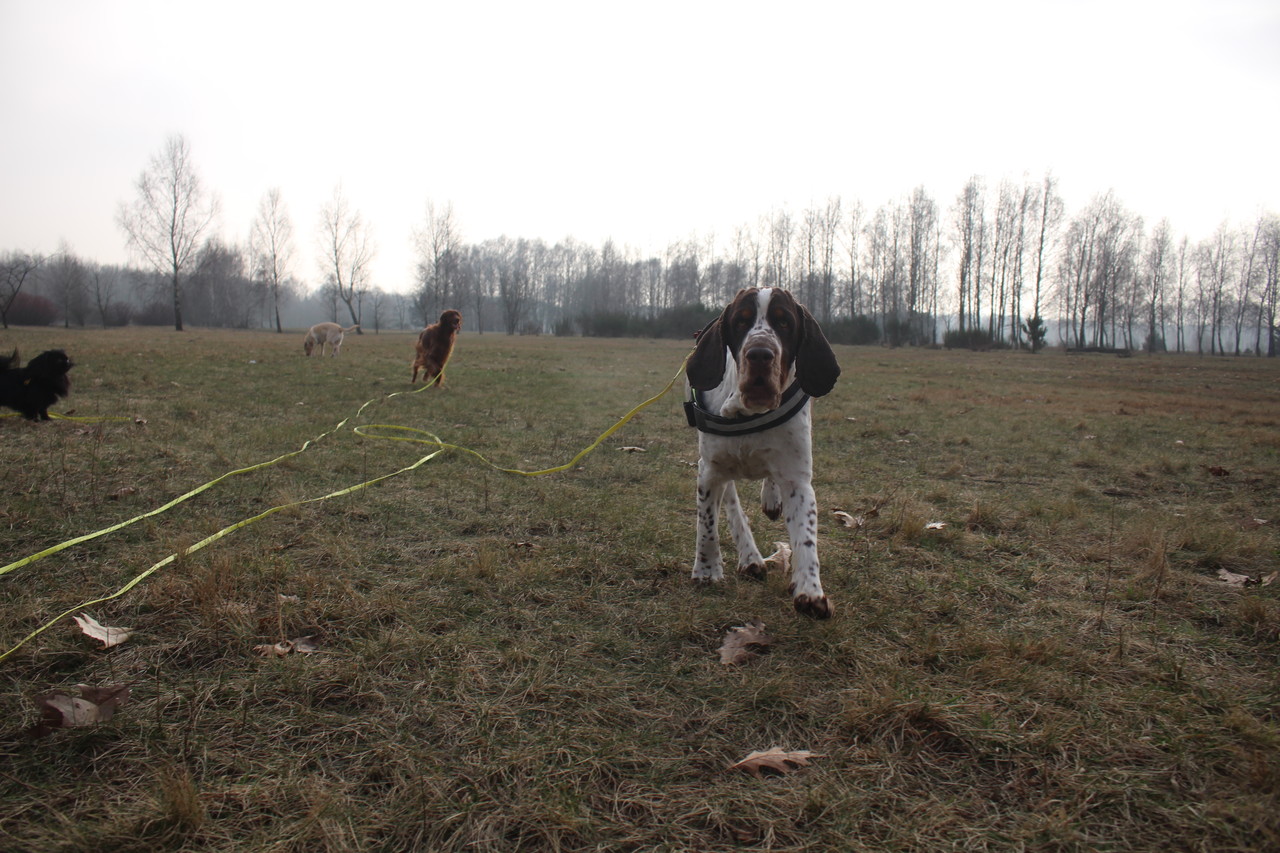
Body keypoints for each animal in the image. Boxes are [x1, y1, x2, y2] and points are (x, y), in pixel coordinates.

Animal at [685, 288, 841, 617]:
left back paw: (770, 499)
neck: (748, 411)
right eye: (741, 322)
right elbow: (708, 524)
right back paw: (750, 557)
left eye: (785, 323)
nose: (759, 354)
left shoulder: (798, 479)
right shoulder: (709, 471)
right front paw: (706, 570)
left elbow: (806, 538)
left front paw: (810, 590)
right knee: (731, 504)